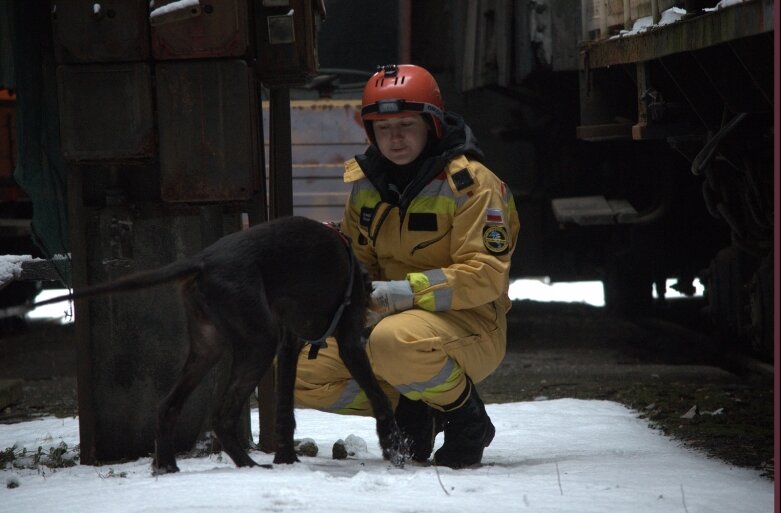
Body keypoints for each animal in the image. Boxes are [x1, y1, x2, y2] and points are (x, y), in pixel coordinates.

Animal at [12, 216, 406, 472]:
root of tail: (203, 259)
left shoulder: (290, 344)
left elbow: (284, 412)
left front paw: (287, 459)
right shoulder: (348, 340)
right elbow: (379, 397)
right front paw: (393, 445)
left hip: (209, 347)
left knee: (167, 406)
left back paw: (168, 466)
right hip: (257, 343)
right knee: (220, 415)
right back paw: (248, 465)